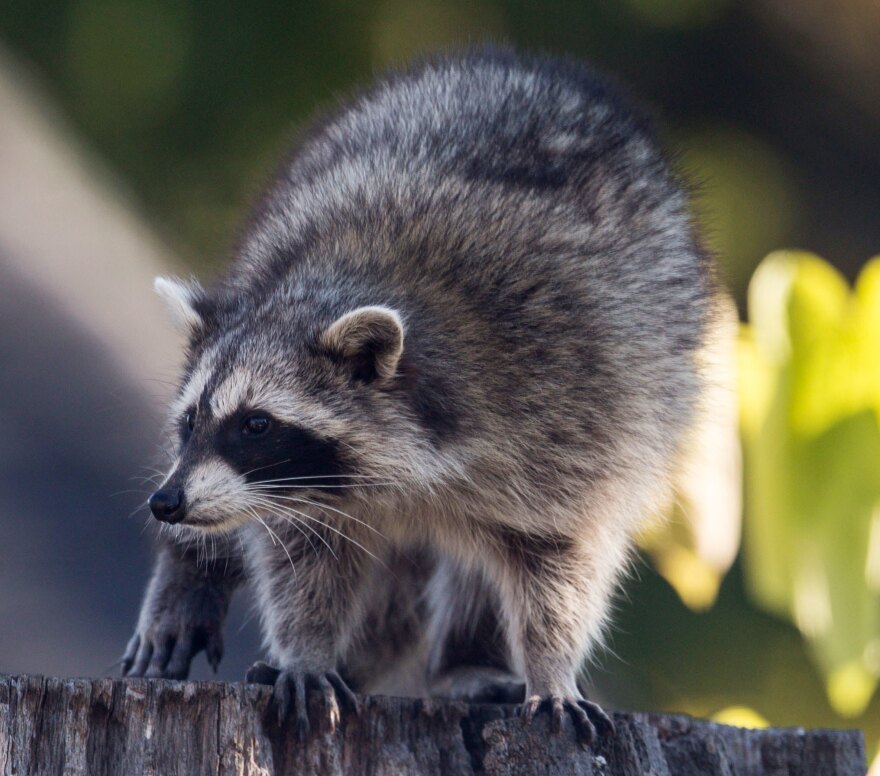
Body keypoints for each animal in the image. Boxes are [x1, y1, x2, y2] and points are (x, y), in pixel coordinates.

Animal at [122, 50, 716, 744]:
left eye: (256, 424)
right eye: (190, 421)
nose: (166, 502)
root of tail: (535, 67)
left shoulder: (577, 415)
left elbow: (560, 561)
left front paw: (551, 665)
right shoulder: (296, 491)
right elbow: (302, 560)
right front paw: (306, 648)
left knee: (477, 575)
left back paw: (463, 660)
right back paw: (191, 579)